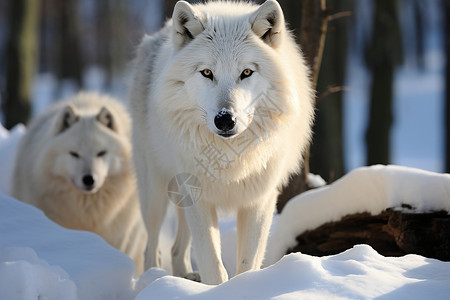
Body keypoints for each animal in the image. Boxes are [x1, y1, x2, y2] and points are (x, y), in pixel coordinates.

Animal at [128, 0, 314, 284]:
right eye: (207, 72)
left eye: (246, 72)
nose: (225, 119)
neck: (230, 157)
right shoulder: (199, 199)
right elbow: (213, 265)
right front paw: (216, 287)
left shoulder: (259, 200)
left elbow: (247, 263)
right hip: (155, 192)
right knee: (152, 247)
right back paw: (155, 282)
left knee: (176, 248)